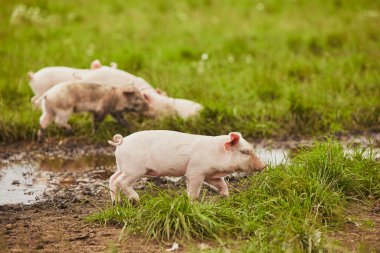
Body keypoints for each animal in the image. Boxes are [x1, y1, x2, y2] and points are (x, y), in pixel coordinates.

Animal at [108, 129, 266, 203]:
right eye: (245, 152)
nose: (264, 166)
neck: (217, 153)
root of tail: (122, 141)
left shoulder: (210, 174)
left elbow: (222, 183)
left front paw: (225, 197)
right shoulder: (196, 171)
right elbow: (194, 189)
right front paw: (192, 202)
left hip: (122, 168)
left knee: (112, 179)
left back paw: (117, 203)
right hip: (134, 170)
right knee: (121, 182)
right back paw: (135, 199)